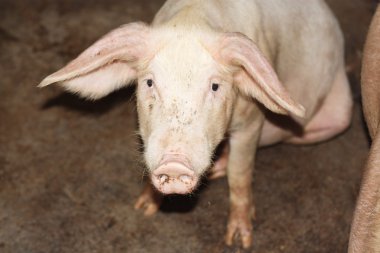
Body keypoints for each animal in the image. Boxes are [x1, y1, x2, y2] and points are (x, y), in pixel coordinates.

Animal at [38, 0, 354, 248]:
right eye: (149, 82)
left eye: (215, 86)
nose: (174, 164)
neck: (193, 19)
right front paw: (144, 208)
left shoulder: (252, 122)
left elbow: (240, 173)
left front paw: (239, 240)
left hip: (342, 115)